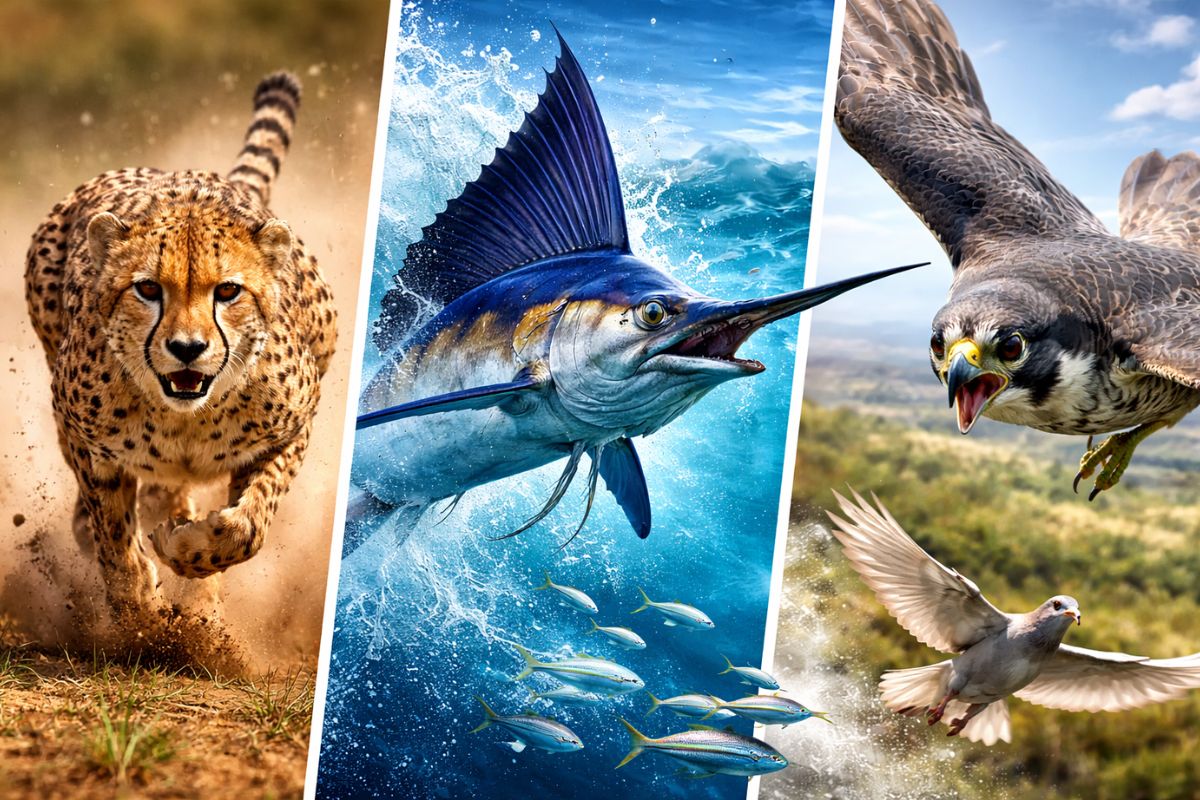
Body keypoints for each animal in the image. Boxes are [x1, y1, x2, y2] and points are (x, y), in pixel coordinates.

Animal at [24, 72, 337, 625]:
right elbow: (112, 529)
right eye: (148, 289)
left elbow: (248, 525)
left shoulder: (293, 429)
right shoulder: (82, 434)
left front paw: (189, 548)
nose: (187, 348)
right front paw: (139, 608)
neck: (186, 419)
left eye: (227, 291)